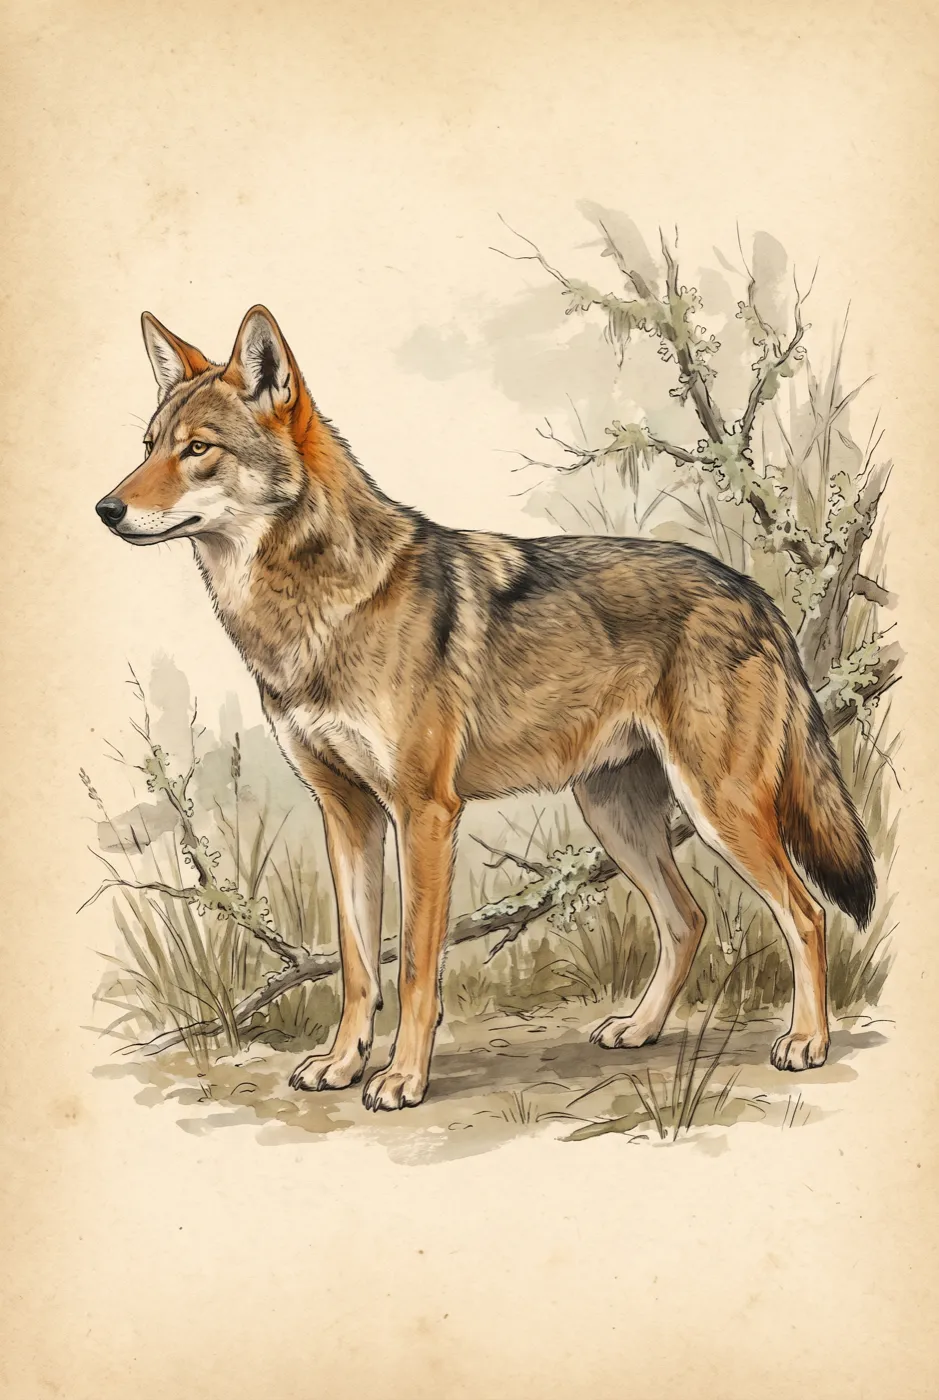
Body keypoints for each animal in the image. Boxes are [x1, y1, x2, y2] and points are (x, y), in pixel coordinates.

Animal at [95, 305, 876, 1110]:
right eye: (149, 446)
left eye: (197, 450)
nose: (106, 508)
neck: (317, 609)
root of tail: (754, 594)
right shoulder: (346, 814)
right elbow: (356, 966)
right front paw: (342, 1065)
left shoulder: (424, 814)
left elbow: (413, 967)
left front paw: (402, 1078)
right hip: (616, 817)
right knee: (687, 919)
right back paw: (639, 1029)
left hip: (718, 809)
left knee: (807, 913)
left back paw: (806, 1042)